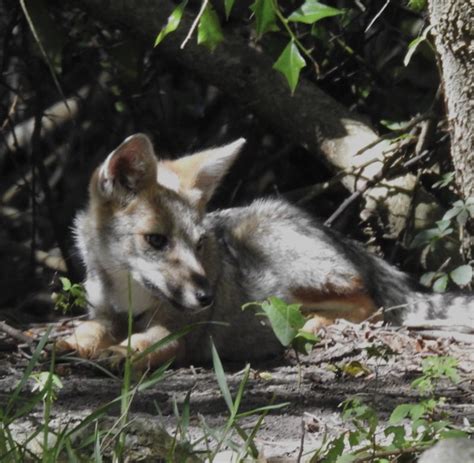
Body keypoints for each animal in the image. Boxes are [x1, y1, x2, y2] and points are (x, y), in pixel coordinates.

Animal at [57, 134, 472, 370]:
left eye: (199, 243)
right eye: (157, 240)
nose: (206, 297)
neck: (131, 297)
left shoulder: (180, 331)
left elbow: (147, 343)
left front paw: (122, 353)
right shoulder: (104, 313)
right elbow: (88, 329)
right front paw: (68, 344)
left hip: (272, 254)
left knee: (371, 308)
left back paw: (309, 325)